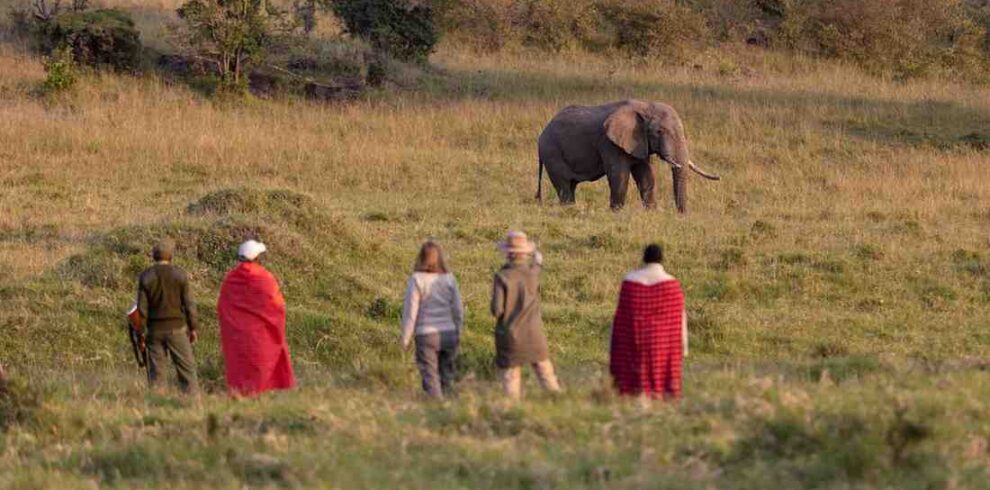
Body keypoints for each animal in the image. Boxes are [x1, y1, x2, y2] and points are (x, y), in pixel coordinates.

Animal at [536, 99, 720, 213]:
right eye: (659, 132)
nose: (681, 214)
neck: (646, 106)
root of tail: (542, 133)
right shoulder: (609, 142)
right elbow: (619, 174)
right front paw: (616, 212)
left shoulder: (640, 143)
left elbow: (646, 175)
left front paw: (651, 212)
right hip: (551, 153)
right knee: (564, 186)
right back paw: (569, 209)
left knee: (570, 186)